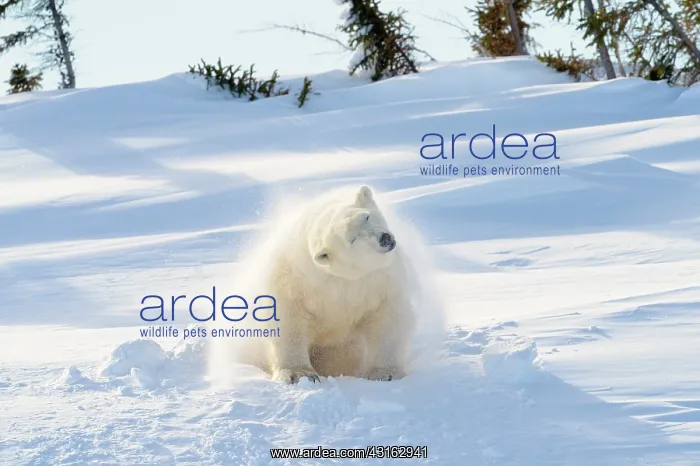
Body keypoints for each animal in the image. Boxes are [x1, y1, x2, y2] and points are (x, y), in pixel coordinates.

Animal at [253, 185, 416, 384]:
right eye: (352, 239)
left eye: (366, 216)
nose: (384, 238)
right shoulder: (292, 280)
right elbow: (287, 320)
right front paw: (298, 373)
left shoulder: (379, 281)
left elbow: (386, 318)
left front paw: (385, 373)